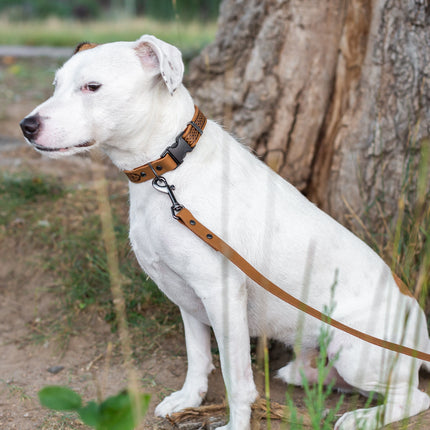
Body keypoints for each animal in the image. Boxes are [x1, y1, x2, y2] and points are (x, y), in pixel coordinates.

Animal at [21, 35, 430, 428]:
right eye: (56, 85)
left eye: (92, 87)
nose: (27, 126)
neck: (166, 172)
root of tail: (419, 321)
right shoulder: (186, 297)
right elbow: (198, 357)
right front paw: (189, 399)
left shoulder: (221, 296)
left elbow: (237, 381)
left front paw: (235, 423)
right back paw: (307, 374)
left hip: (355, 351)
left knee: (413, 398)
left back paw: (362, 418)